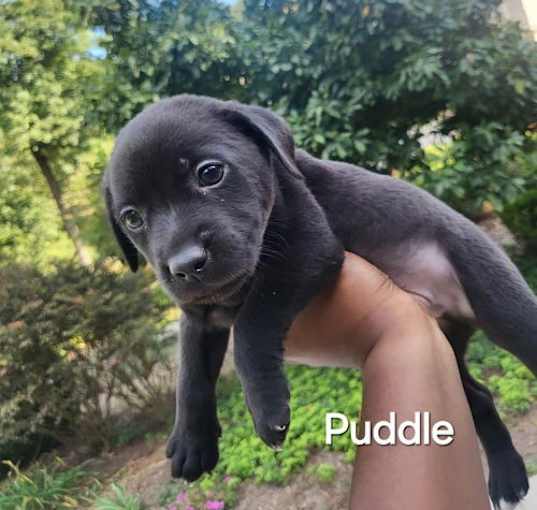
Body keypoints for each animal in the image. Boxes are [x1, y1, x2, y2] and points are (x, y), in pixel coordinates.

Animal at [102, 94, 532, 506]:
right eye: (132, 218)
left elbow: (254, 322)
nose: (186, 265)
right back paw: (507, 478)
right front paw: (192, 440)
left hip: (502, 304)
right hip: (444, 351)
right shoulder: (198, 315)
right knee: (479, 397)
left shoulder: (305, 249)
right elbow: (190, 369)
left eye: (210, 173)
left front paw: (266, 404)